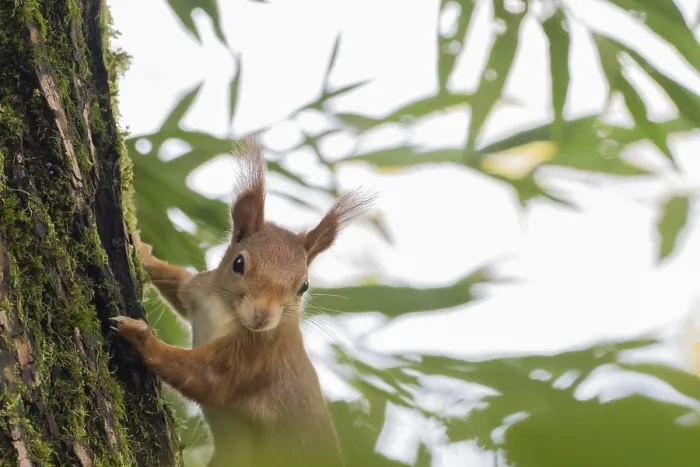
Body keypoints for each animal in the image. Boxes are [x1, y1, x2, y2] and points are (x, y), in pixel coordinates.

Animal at [110, 137, 374, 467]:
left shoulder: (256, 353)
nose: (263, 315)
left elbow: (209, 382)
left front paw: (141, 336)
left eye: (304, 286)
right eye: (239, 264)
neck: (225, 310)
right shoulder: (197, 293)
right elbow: (176, 284)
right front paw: (143, 251)